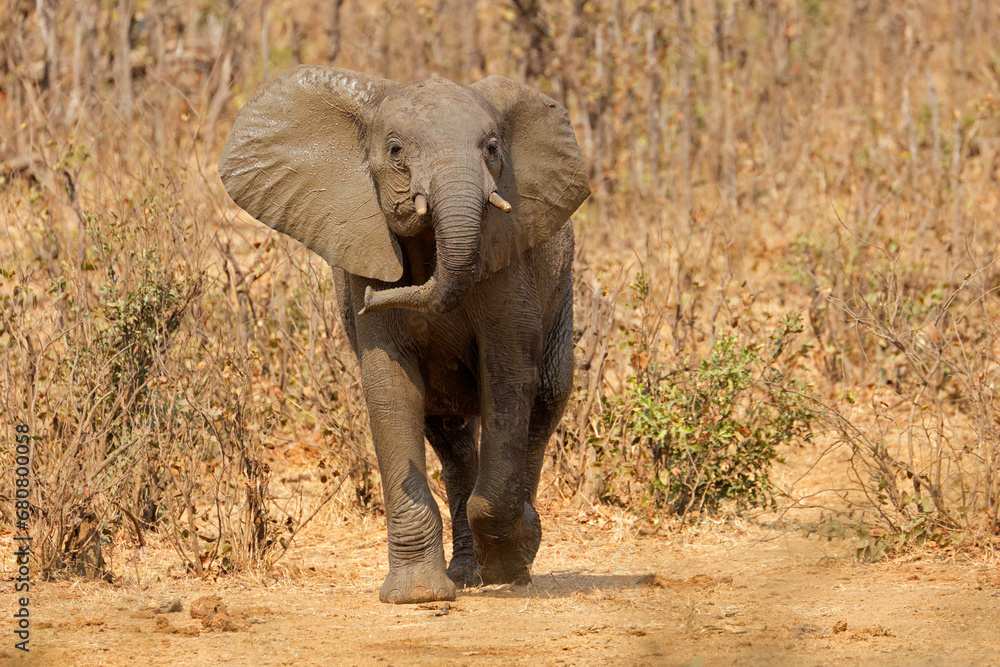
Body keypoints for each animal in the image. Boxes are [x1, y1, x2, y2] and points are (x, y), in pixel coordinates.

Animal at [218, 65, 589, 604]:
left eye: (492, 148)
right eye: (395, 151)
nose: (375, 297)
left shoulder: (509, 263)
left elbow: (507, 375)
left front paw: (509, 560)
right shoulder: (362, 256)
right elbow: (391, 388)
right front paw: (418, 596)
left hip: (562, 293)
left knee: (542, 401)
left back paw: (516, 559)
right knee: (449, 435)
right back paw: (467, 575)